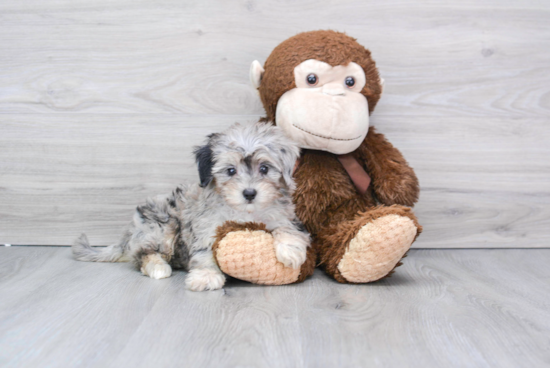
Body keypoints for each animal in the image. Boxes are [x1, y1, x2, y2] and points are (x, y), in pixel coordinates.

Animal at [72, 122, 310, 292]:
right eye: (230, 171)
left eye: (264, 168)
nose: (249, 193)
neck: (244, 211)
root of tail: (129, 234)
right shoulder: (207, 228)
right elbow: (204, 253)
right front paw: (206, 276)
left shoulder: (284, 216)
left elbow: (287, 228)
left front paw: (290, 251)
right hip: (161, 225)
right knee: (144, 254)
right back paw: (158, 267)